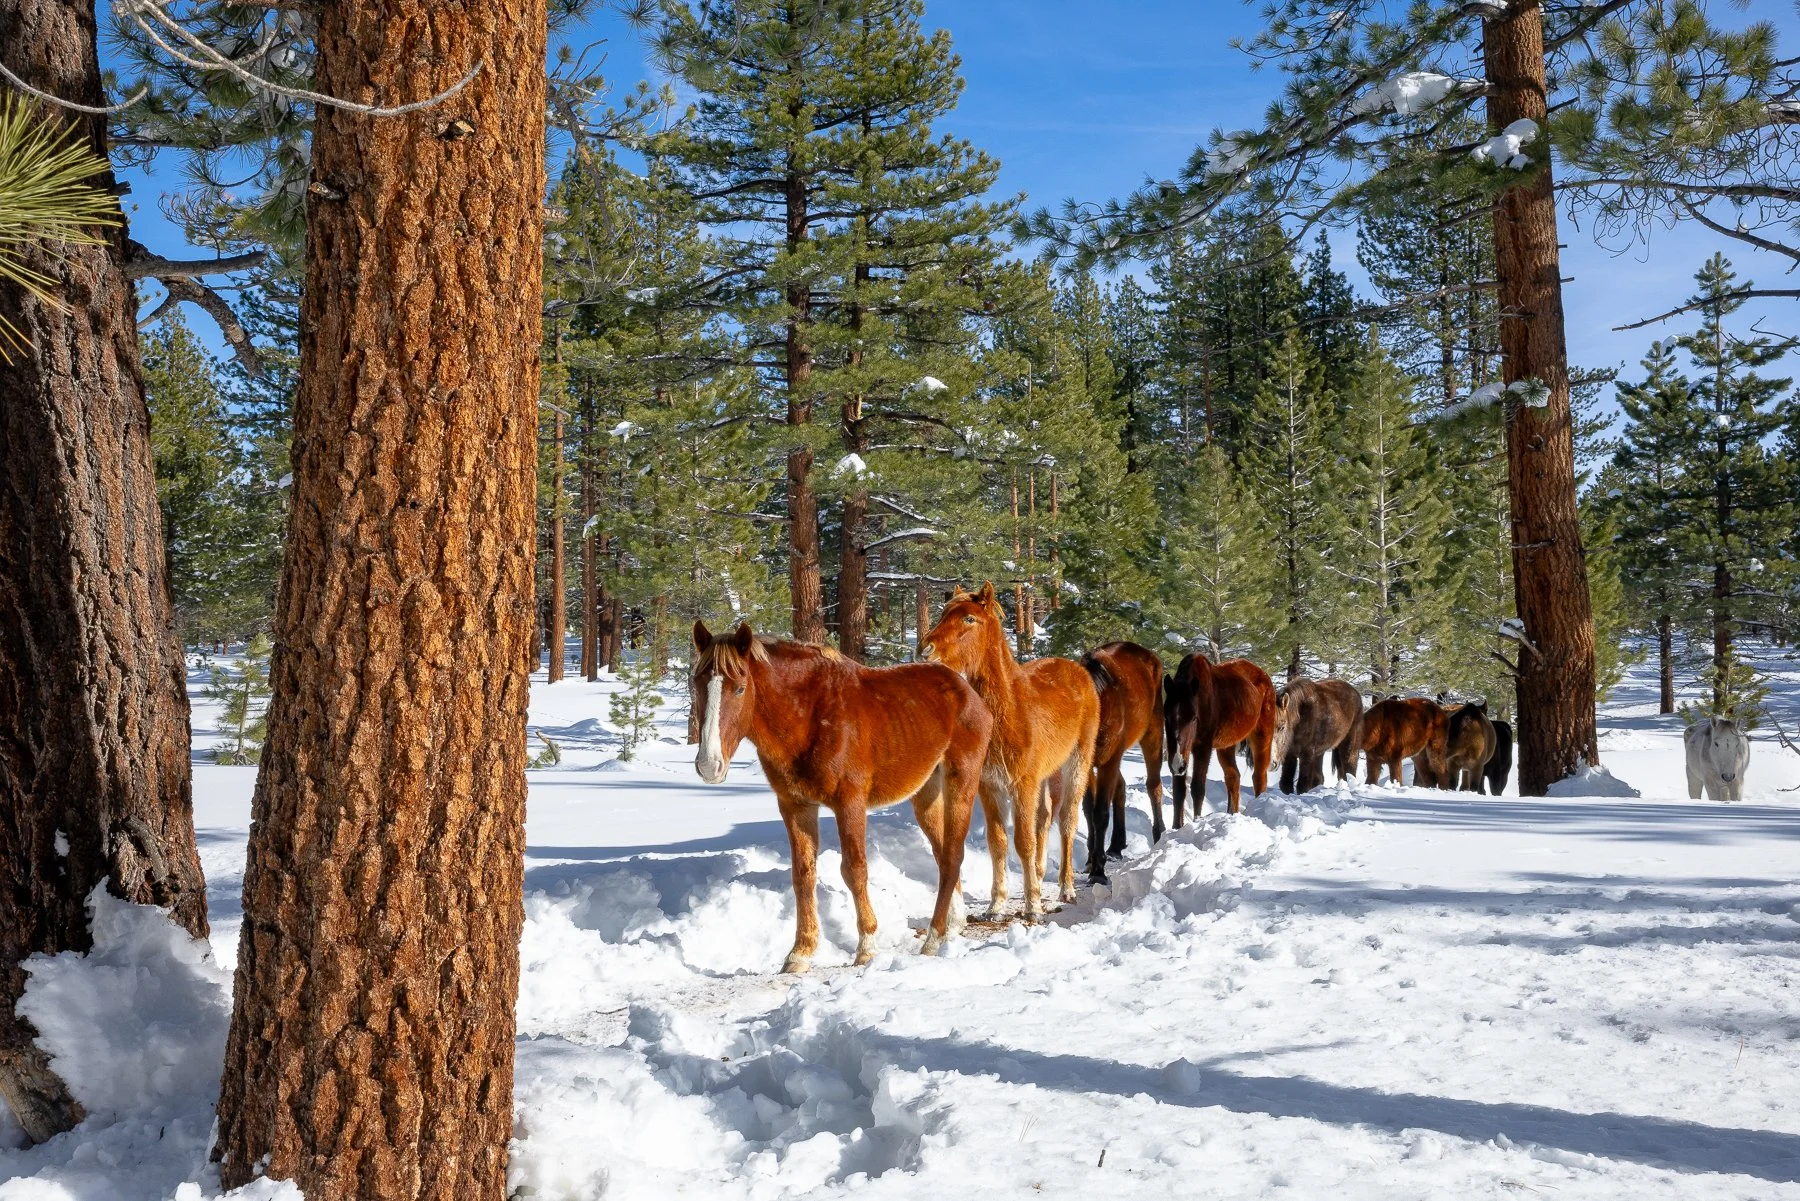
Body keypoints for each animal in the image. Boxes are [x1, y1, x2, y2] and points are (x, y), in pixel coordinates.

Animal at [691, 621, 992, 972]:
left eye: (739, 689)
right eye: (697, 684)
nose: (709, 765)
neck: (809, 716)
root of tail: (967, 692)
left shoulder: (849, 803)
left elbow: (854, 870)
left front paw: (866, 947)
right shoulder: (795, 805)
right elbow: (803, 874)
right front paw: (800, 952)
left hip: (962, 781)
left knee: (954, 854)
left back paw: (933, 937)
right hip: (926, 795)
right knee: (944, 855)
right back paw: (952, 925)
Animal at [921, 583, 1099, 919]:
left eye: (969, 619)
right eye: (943, 612)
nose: (925, 649)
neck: (1010, 711)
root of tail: (1076, 669)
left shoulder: (1022, 784)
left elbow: (1023, 841)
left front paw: (1032, 906)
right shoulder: (989, 785)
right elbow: (999, 841)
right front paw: (997, 904)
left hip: (1077, 762)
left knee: (1066, 820)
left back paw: (1066, 888)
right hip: (1048, 775)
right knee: (1044, 818)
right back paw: (1040, 875)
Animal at [1079, 641, 1165, 884]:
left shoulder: (1108, 762)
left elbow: (1100, 813)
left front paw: (1098, 871)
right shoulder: (1088, 765)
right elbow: (1088, 810)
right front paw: (1091, 860)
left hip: (1153, 734)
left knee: (1153, 786)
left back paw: (1160, 834)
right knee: (1120, 788)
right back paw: (1116, 845)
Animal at [1161, 653, 1277, 827]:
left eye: (1194, 718)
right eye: (1166, 717)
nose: (1177, 763)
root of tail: (1264, 676)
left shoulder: (1202, 748)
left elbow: (1198, 788)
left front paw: (1197, 822)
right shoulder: (1179, 752)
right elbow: (1179, 792)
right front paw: (1176, 828)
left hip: (1262, 737)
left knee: (1259, 778)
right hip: (1226, 746)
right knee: (1233, 778)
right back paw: (1232, 813)